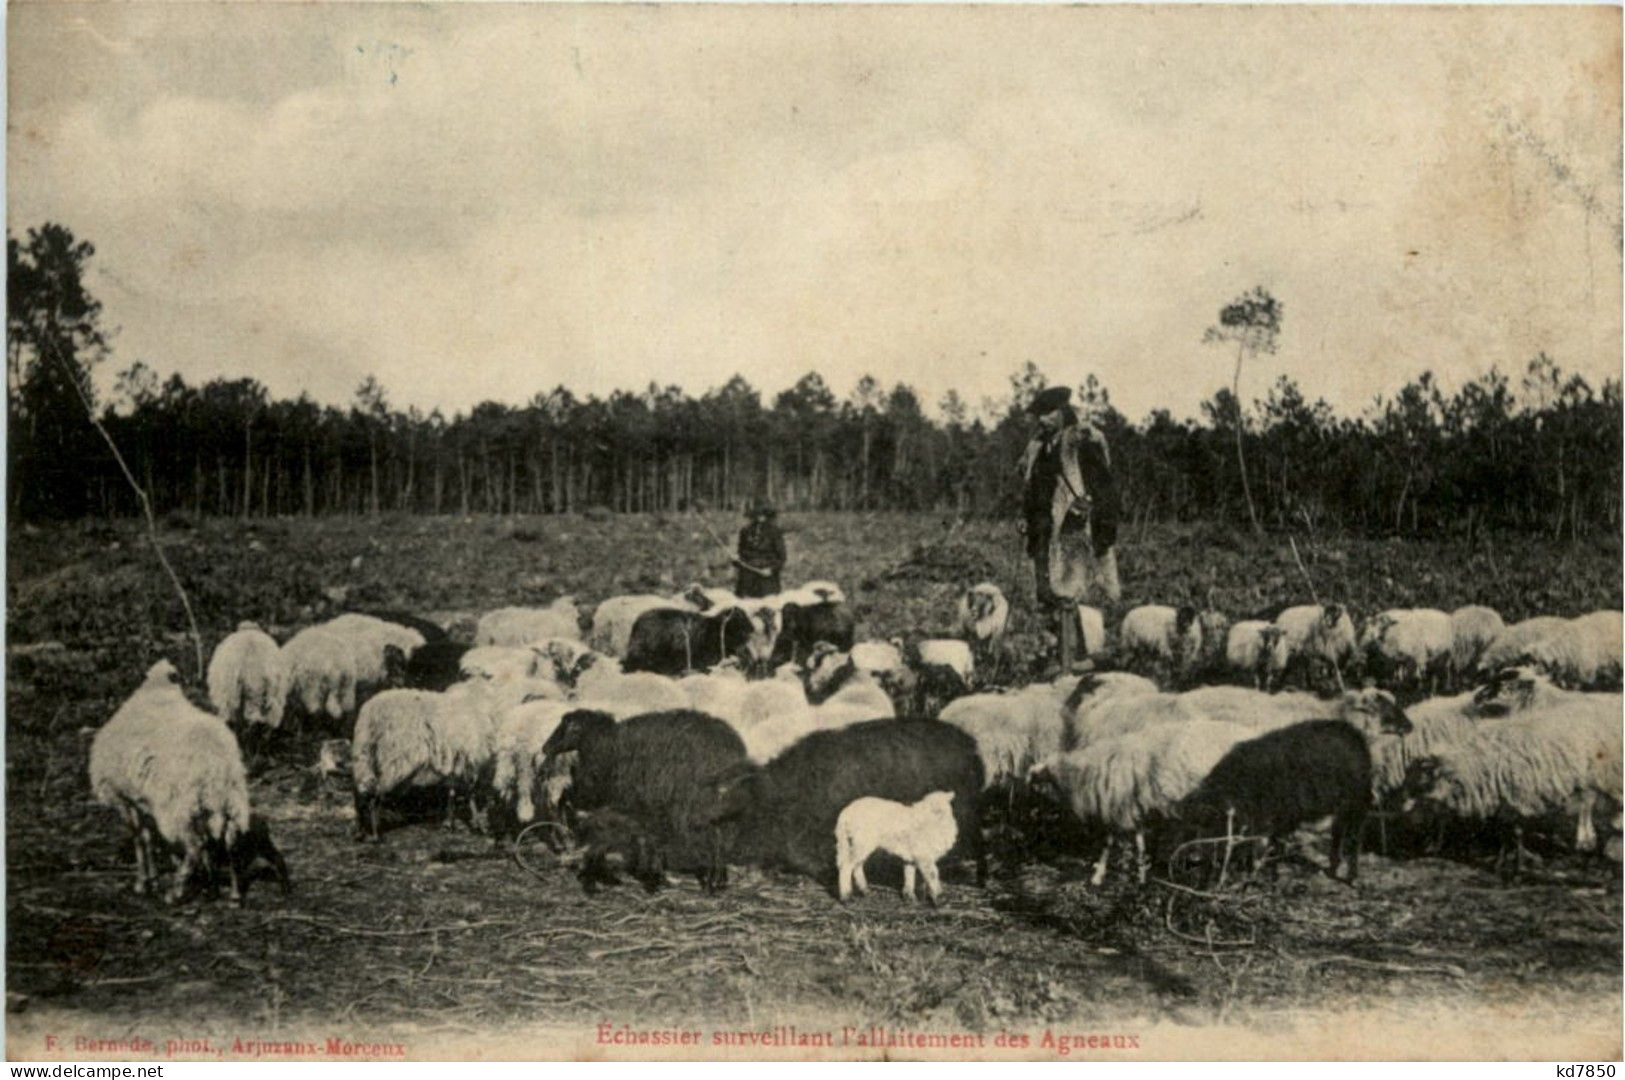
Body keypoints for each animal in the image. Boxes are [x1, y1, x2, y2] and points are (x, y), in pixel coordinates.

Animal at [88, 656, 251, 902]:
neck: (157, 690)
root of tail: (215, 760)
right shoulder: (142, 800)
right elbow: (149, 839)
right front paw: (158, 878)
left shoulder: (124, 798)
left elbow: (140, 839)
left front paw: (143, 882)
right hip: (227, 797)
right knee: (229, 840)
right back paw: (232, 893)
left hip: (178, 804)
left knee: (195, 845)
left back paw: (176, 891)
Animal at [542, 704, 750, 889]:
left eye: (567, 727)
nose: (545, 748)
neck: (603, 743)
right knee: (721, 835)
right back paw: (719, 879)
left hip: (695, 802)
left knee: (715, 835)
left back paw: (713, 879)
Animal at [1033, 714, 1248, 883]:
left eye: (1037, 784)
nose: (1033, 815)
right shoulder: (1133, 807)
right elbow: (1140, 842)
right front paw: (1142, 875)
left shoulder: (1118, 806)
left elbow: (1108, 842)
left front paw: (1098, 876)